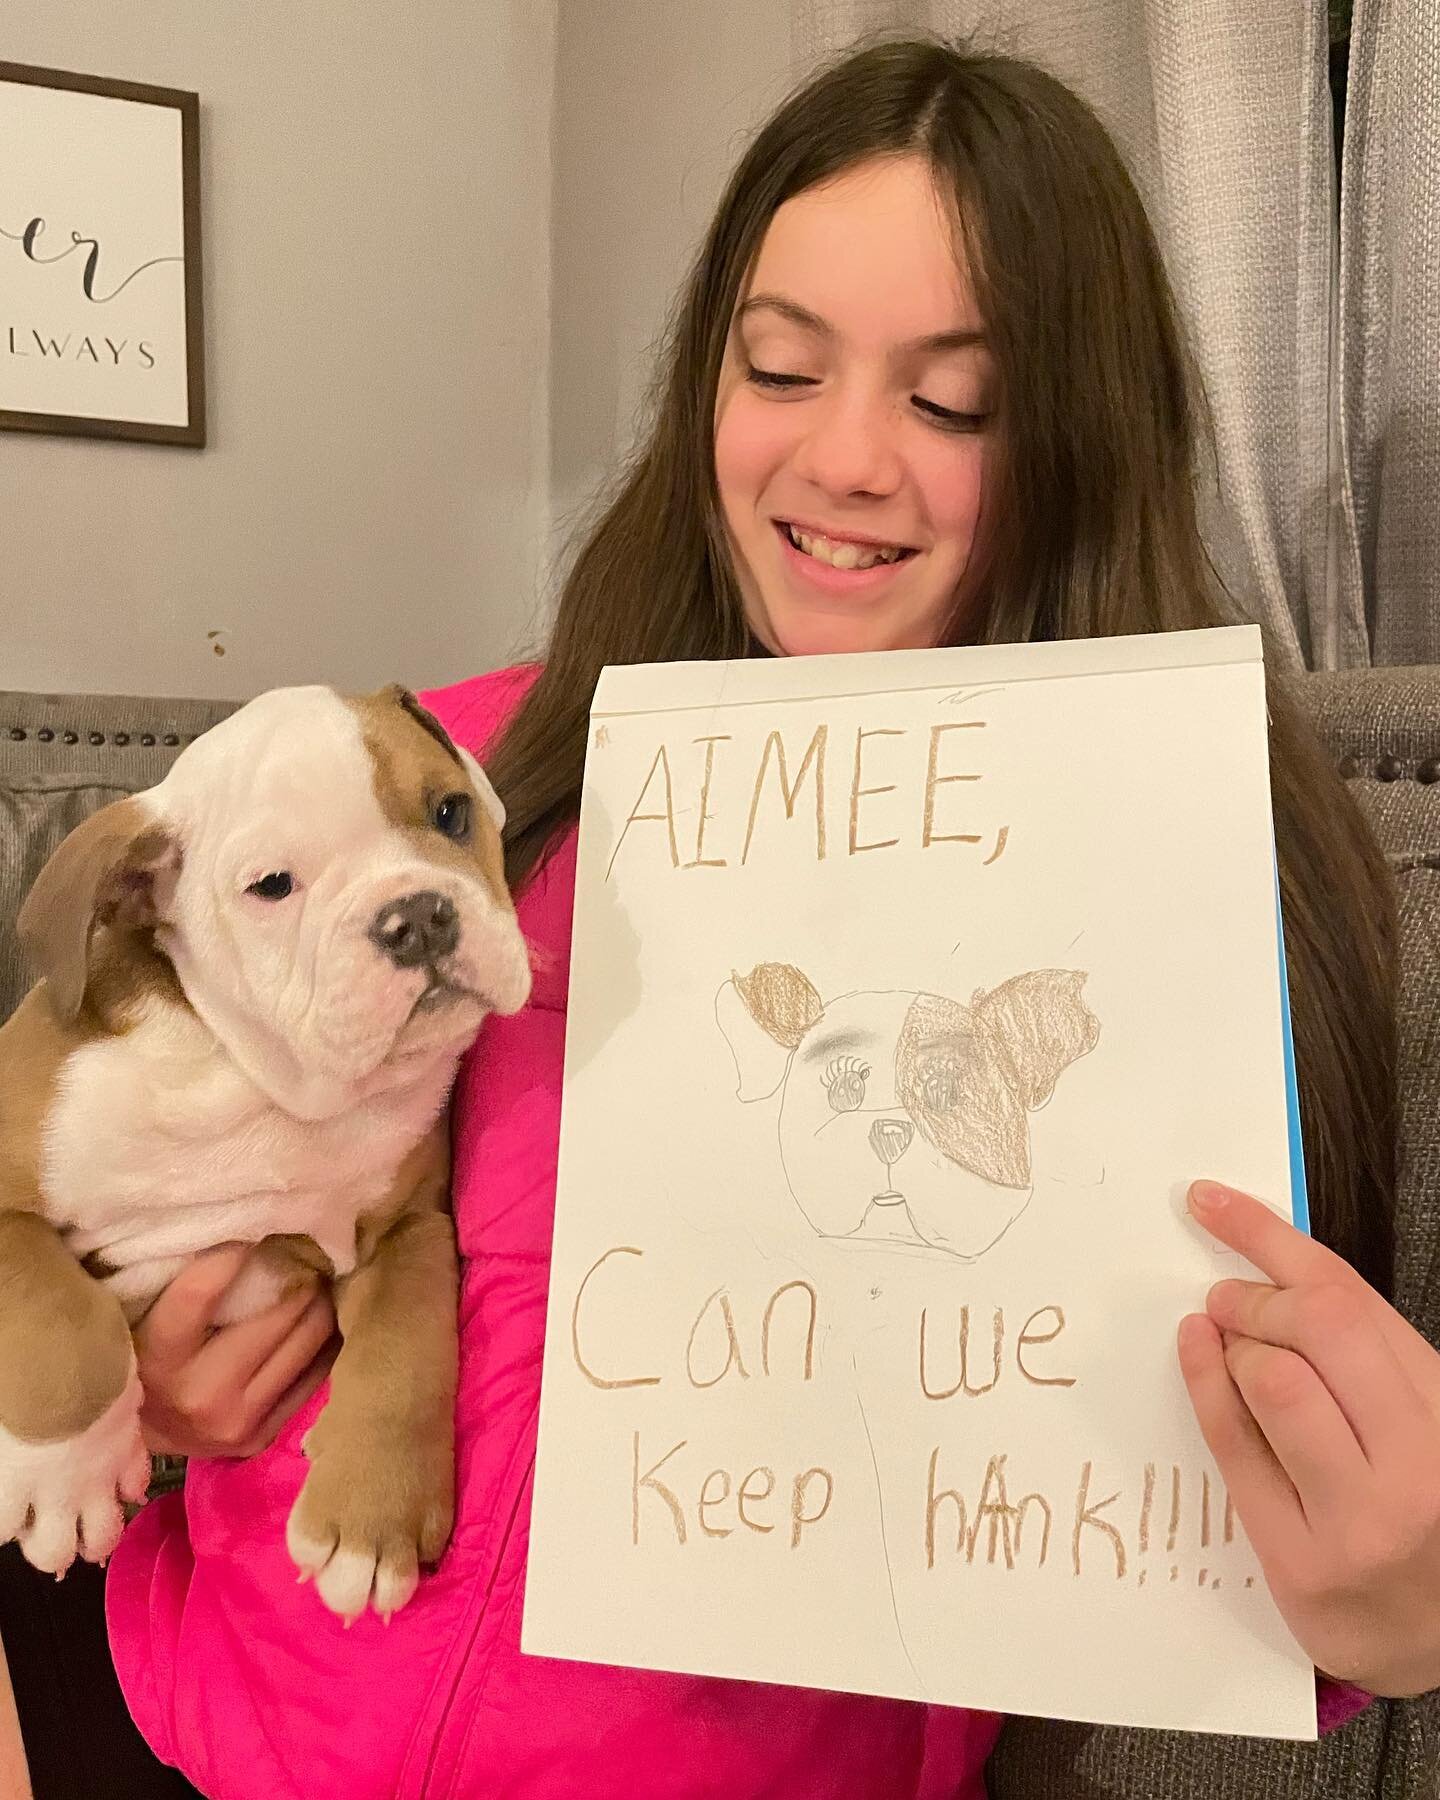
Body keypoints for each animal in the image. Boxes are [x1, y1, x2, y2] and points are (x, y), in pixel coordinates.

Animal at [0, 680, 532, 1627]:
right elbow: (58, 1316)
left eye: (450, 812)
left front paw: (371, 1520)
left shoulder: (408, 1229)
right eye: (272, 887)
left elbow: (406, 1354)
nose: (418, 916)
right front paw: (67, 1481)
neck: (259, 1076)